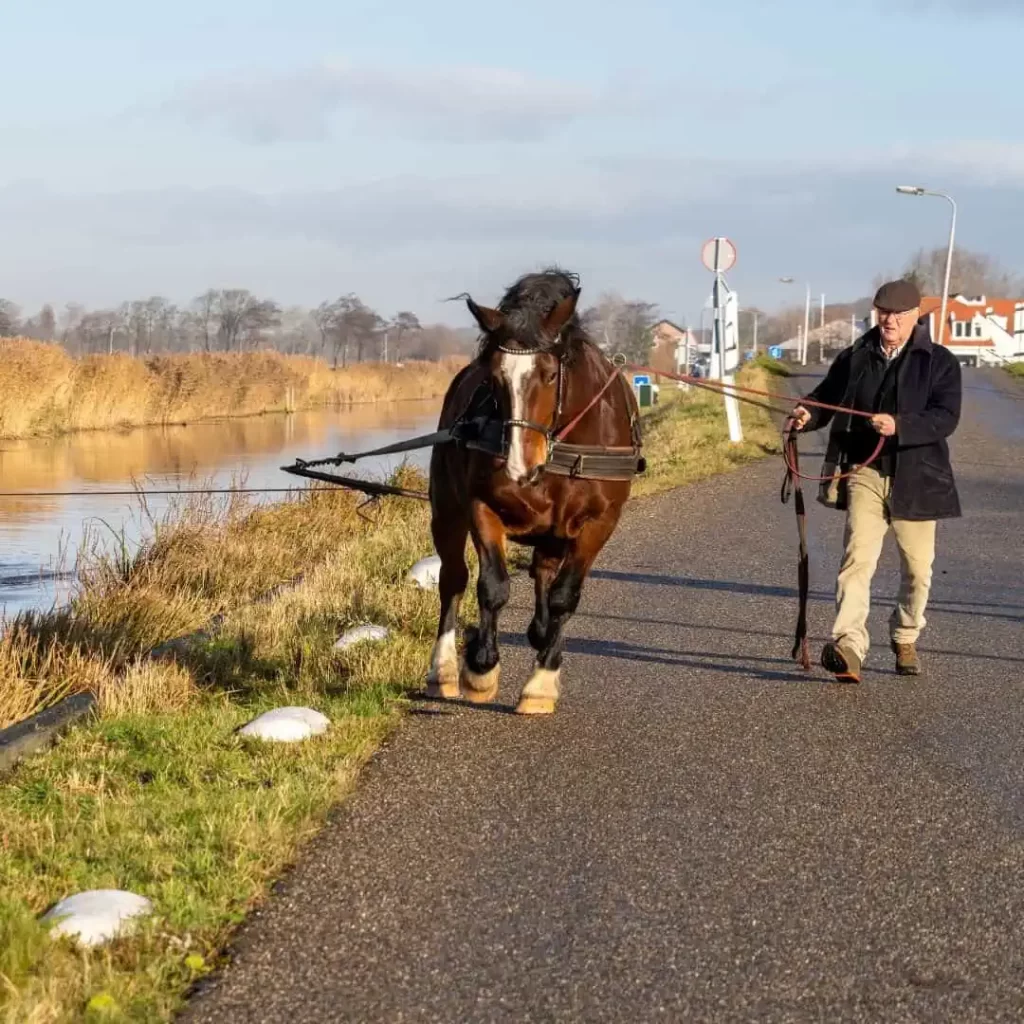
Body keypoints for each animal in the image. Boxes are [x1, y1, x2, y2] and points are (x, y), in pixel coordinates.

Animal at [423, 268, 638, 716]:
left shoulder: (598, 523)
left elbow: (564, 596)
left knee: (544, 573)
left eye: (551, 374)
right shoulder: (481, 506)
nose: (521, 464)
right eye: (494, 377)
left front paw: (541, 679)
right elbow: (492, 586)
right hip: (446, 511)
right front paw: (481, 667)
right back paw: (444, 669)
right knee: (453, 579)